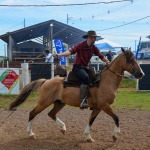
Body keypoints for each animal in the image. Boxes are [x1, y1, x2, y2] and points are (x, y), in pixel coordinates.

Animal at [8, 47, 144, 142]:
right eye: (129, 59)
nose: (141, 74)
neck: (105, 82)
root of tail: (46, 81)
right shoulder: (105, 106)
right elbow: (116, 117)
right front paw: (115, 136)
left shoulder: (98, 108)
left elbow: (91, 121)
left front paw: (88, 137)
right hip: (44, 102)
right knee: (32, 113)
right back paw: (31, 134)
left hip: (59, 103)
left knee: (51, 114)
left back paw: (63, 128)